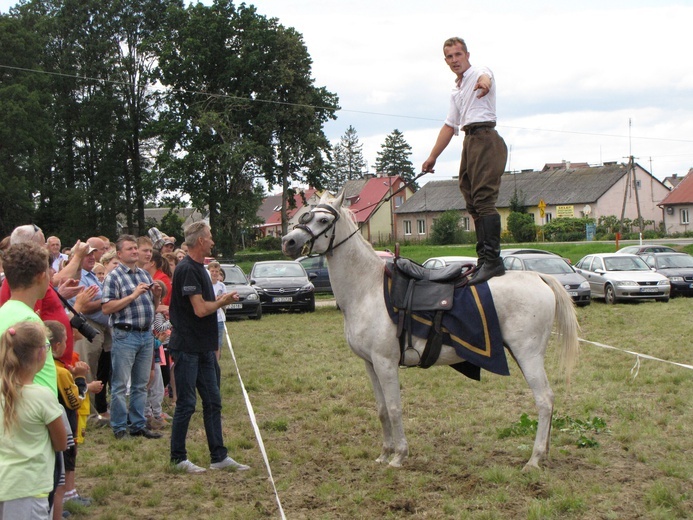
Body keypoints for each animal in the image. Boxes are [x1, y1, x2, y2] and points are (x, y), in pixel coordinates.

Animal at [282, 194, 580, 472]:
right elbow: (381, 410)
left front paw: (399, 456)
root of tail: (539, 277)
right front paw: (384, 454)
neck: (368, 289)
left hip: (528, 355)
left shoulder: (385, 363)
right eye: (307, 215)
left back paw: (534, 459)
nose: (289, 241)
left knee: (544, 400)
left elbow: (394, 408)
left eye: (323, 220)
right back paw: (545, 454)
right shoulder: (370, 364)